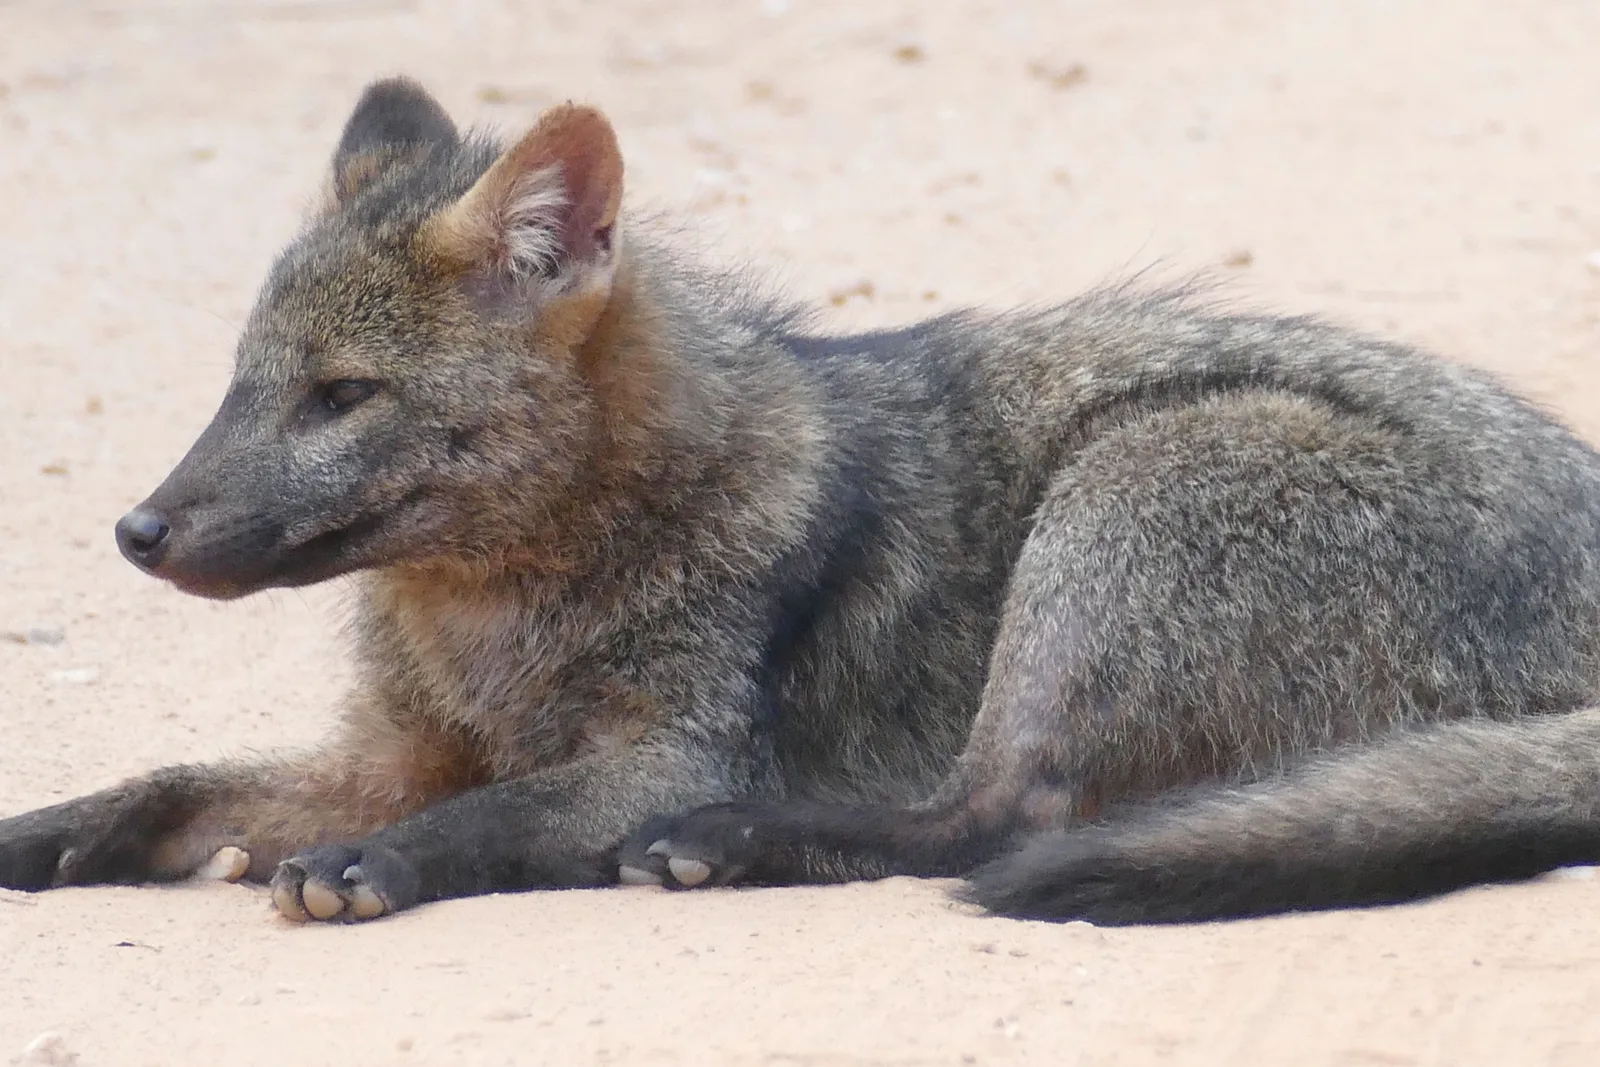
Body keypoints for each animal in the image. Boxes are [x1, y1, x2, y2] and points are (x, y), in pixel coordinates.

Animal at [3, 74, 1600, 927]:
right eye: (239, 385)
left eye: (342, 396)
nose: (139, 531)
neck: (492, 624)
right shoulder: (392, 753)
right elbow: (172, 784)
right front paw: (45, 830)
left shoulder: (673, 747)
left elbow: (505, 805)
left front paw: (374, 864)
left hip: (1129, 484)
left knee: (994, 820)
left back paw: (727, 847)